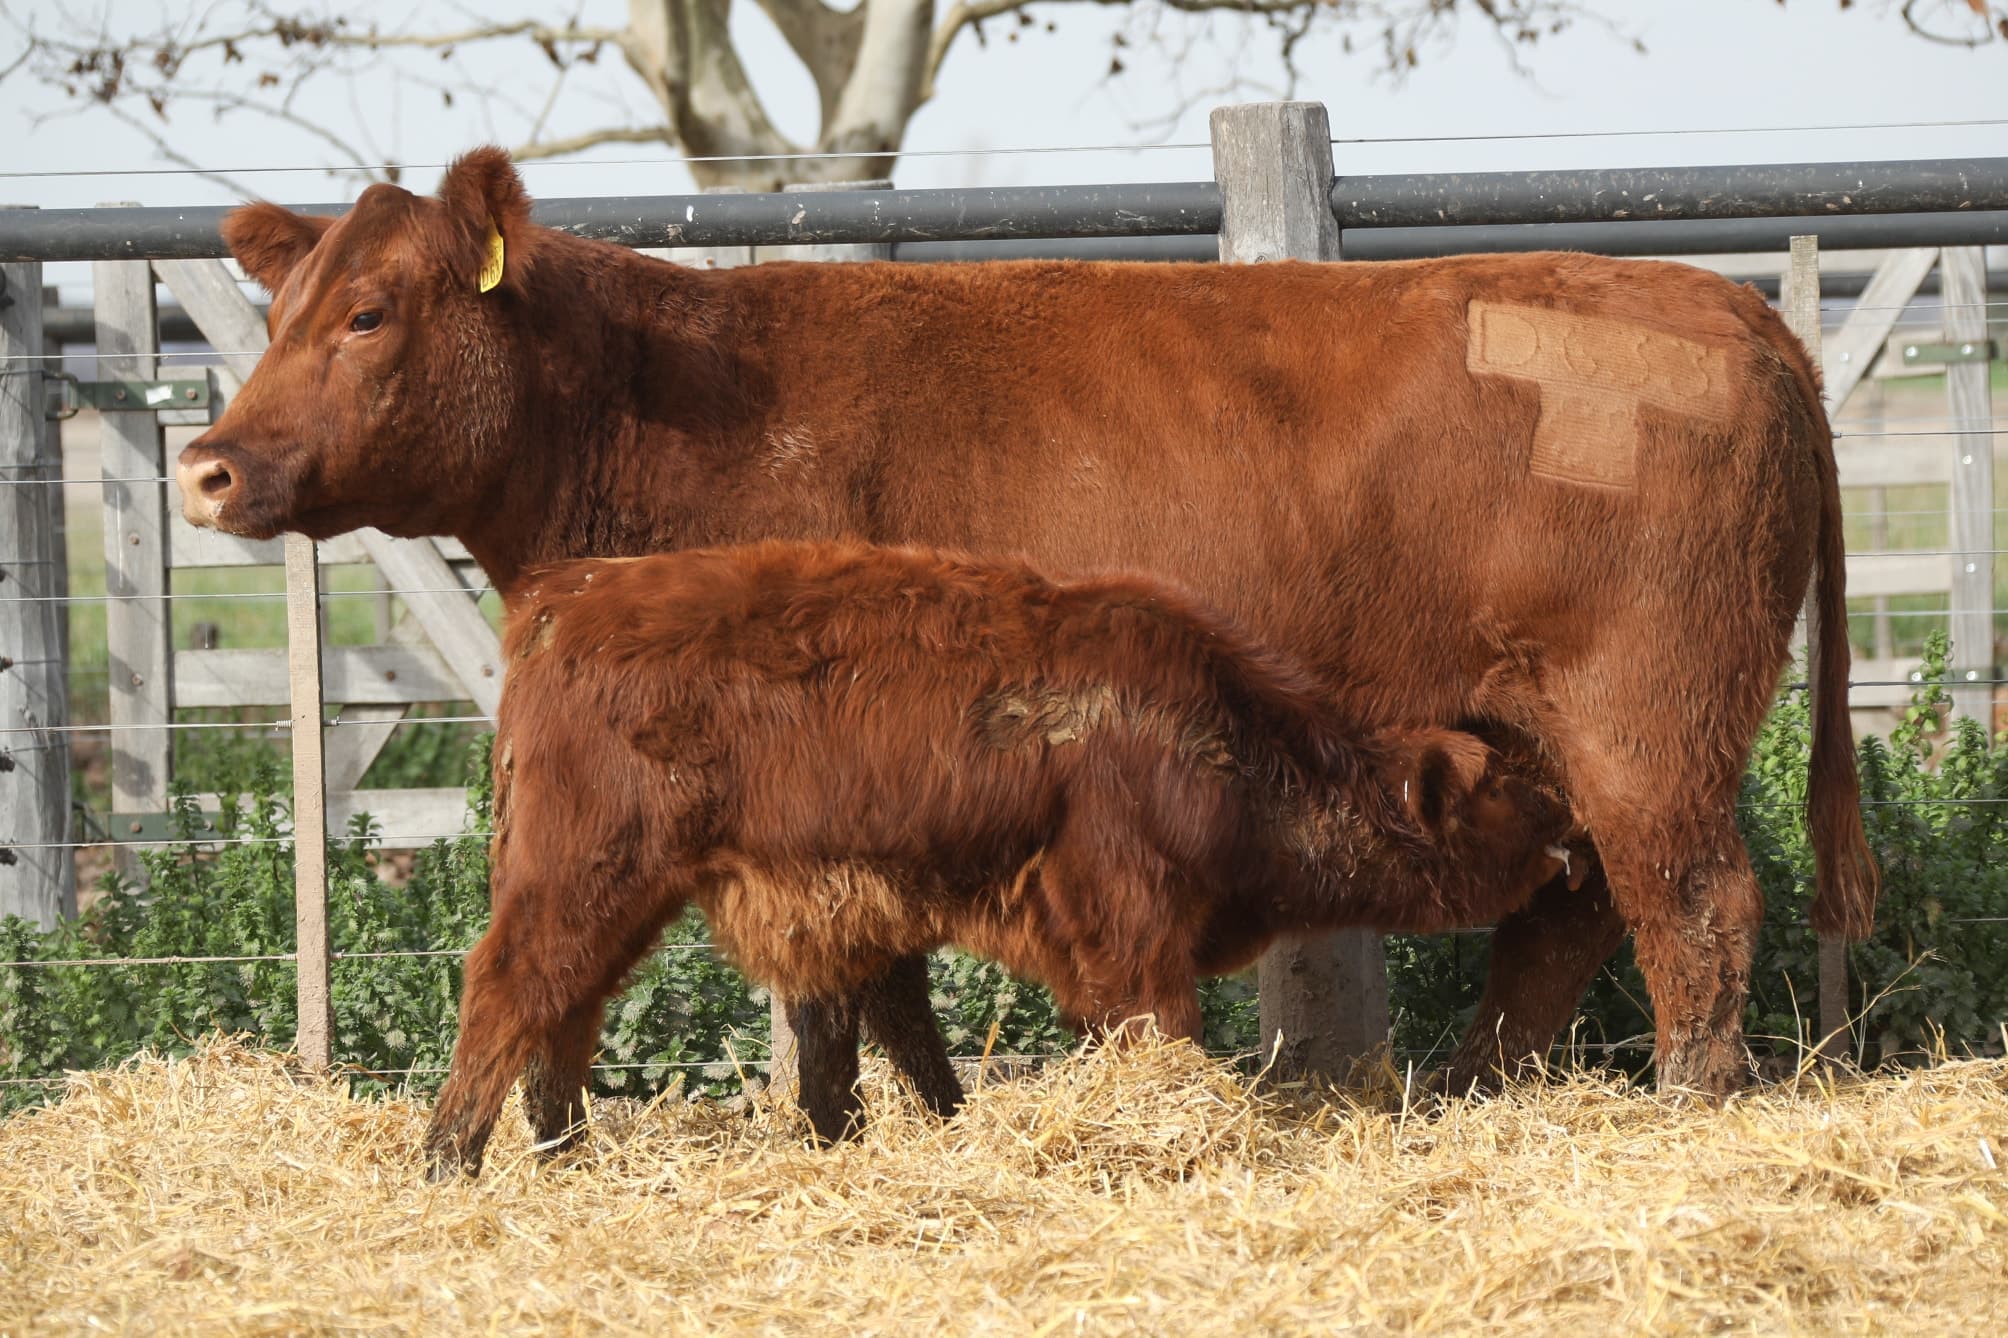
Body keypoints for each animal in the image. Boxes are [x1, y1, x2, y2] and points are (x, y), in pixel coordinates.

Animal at [420, 540, 1578, 1176]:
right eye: (1508, 794)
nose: (1573, 836)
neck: (1222, 732)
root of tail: (562, 598)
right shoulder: (1132, 922)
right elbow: (1156, 1029)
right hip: (587, 876)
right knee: (512, 986)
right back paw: (451, 1160)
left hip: (618, 892)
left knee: (567, 1010)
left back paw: (561, 1155)